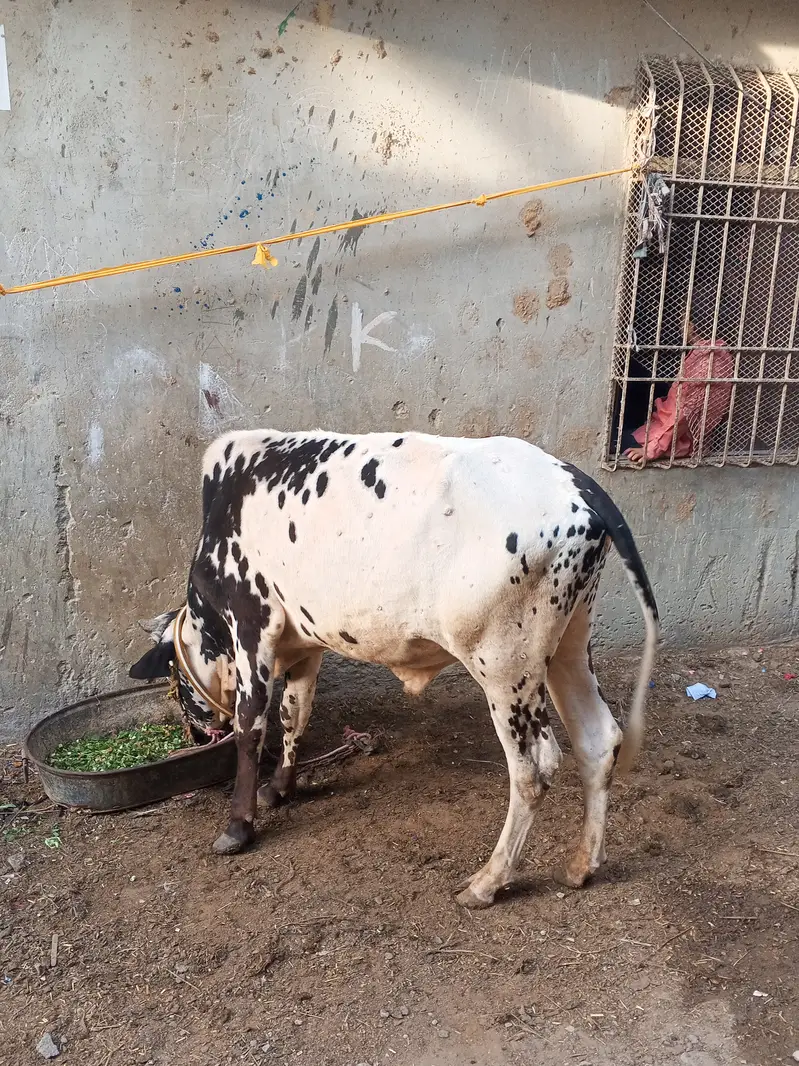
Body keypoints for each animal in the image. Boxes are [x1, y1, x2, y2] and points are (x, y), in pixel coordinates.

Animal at [129, 429, 659, 909]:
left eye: (174, 682)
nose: (195, 734)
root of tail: (580, 484)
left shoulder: (251, 623)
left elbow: (251, 725)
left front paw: (238, 825)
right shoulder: (305, 641)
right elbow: (294, 713)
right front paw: (280, 788)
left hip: (505, 665)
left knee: (534, 767)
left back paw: (487, 883)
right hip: (568, 643)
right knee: (598, 739)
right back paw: (581, 865)